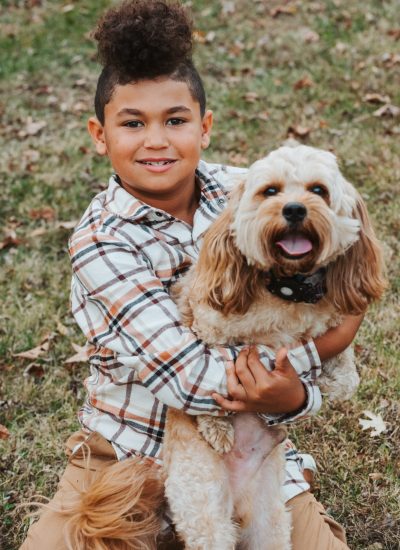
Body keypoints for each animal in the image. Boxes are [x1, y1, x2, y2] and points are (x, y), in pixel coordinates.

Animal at [162, 144, 384, 548]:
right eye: (270, 191)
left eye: (318, 191)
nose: (294, 209)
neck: (288, 288)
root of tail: (236, 506)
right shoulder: (204, 318)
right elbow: (210, 378)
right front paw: (217, 428)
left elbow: (345, 372)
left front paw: (332, 380)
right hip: (203, 508)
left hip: (271, 519)